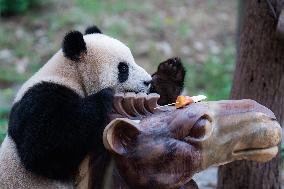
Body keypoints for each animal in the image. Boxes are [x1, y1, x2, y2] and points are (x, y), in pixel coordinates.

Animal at [0, 25, 185, 189]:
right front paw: (104, 97)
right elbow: (43, 150)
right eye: (123, 68)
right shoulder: (40, 99)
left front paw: (167, 76)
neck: (71, 74)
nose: (147, 81)